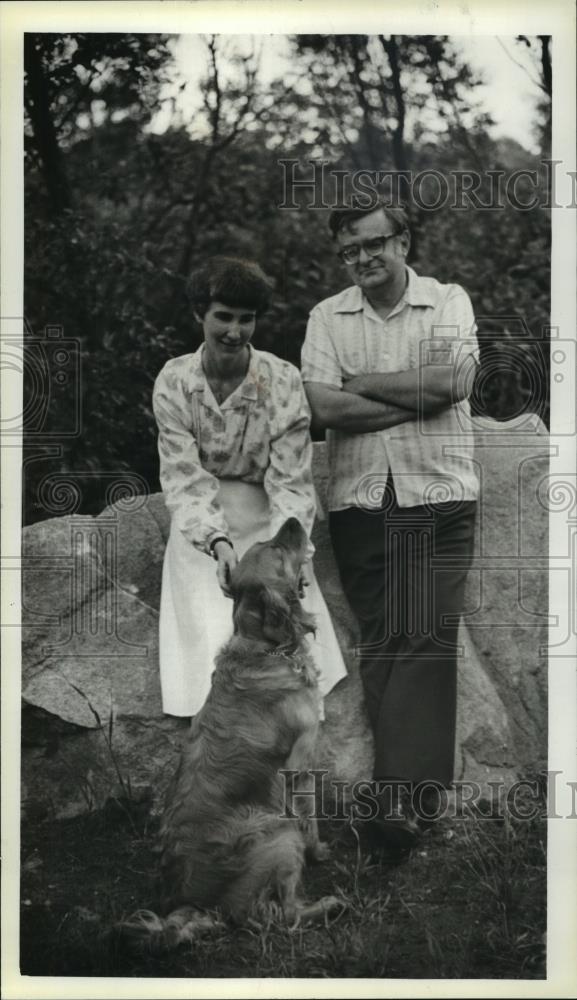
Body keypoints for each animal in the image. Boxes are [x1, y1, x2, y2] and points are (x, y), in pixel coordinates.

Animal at [120, 520, 338, 948]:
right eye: (277, 550)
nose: (292, 521)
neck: (263, 648)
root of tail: (195, 904)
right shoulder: (302, 766)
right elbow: (311, 819)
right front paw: (320, 852)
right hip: (278, 834)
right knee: (284, 914)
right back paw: (329, 904)